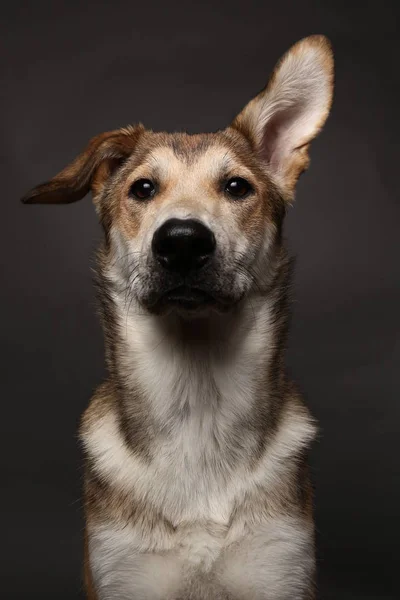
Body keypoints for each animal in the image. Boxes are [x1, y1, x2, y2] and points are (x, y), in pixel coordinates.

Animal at [21, 34, 334, 600]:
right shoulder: (123, 573)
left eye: (237, 187)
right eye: (142, 189)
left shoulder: (281, 568)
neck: (197, 402)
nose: (183, 241)